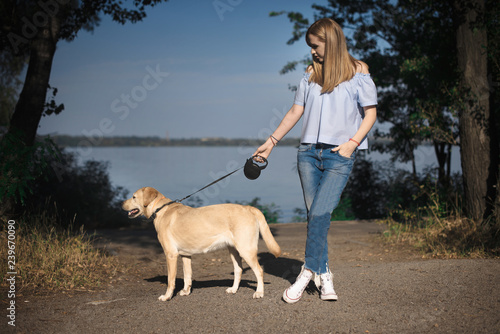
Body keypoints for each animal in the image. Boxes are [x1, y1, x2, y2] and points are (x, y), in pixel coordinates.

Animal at [122, 187, 282, 302]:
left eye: (134, 197)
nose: (121, 204)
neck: (160, 209)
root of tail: (248, 207)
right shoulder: (185, 256)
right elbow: (187, 276)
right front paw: (186, 291)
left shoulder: (171, 255)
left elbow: (170, 280)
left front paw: (167, 297)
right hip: (234, 251)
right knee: (239, 270)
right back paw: (233, 289)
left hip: (246, 250)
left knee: (259, 271)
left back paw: (259, 292)